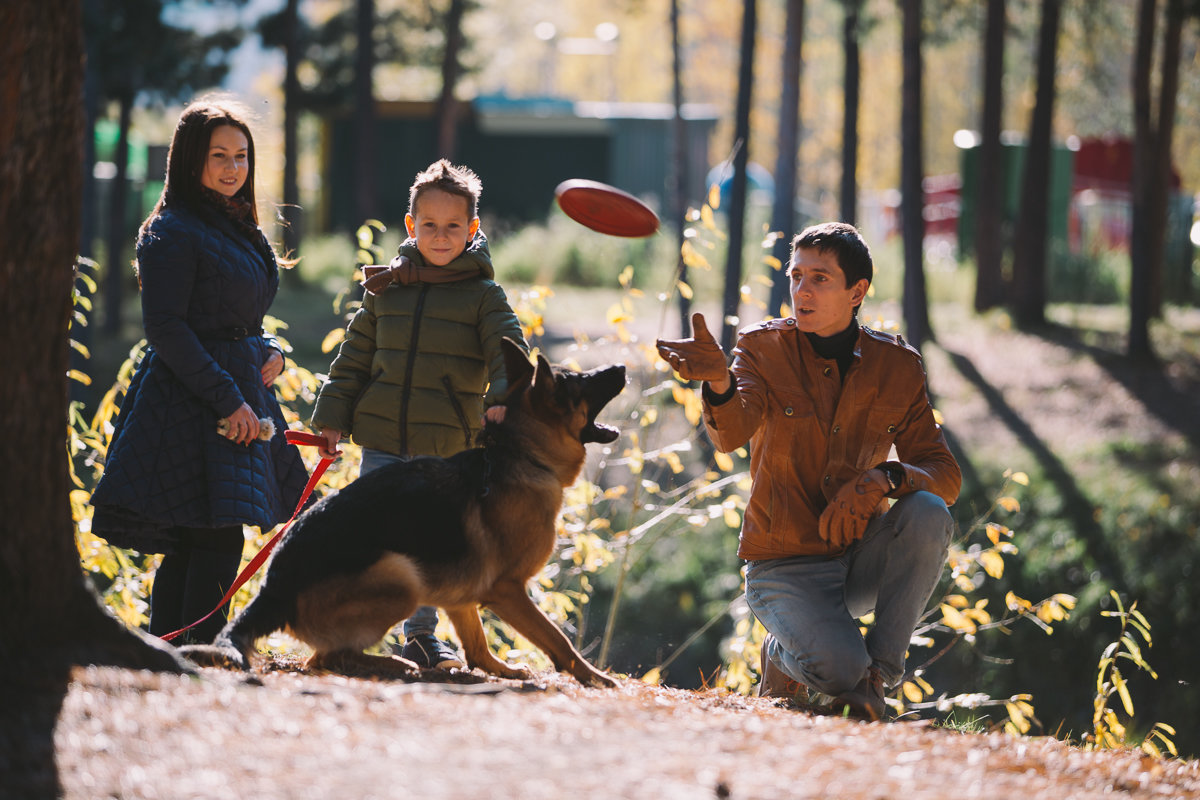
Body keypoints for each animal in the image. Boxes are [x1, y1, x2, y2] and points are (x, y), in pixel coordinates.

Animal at [184, 338, 628, 690]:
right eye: (581, 381)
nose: (621, 367)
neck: (519, 454)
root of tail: (274, 587)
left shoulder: (463, 592)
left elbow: (477, 644)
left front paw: (497, 669)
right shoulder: (507, 589)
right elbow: (558, 640)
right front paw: (595, 677)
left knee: (323, 656)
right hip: (403, 578)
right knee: (324, 658)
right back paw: (391, 663)